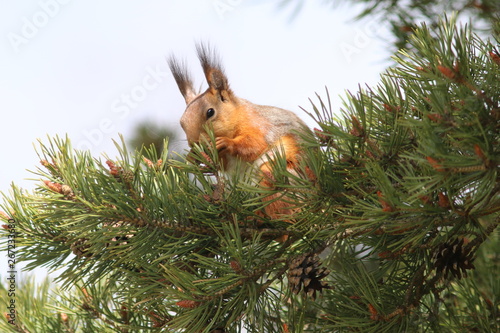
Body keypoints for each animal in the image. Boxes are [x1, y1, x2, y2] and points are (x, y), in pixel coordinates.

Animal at [168, 43, 312, 220]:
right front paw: (194, 156)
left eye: (210, 112)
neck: (237, 117)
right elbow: (223, 164)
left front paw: (227, 143)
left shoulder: (259, 124)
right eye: (181, 122)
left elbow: (255, 144)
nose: (194, 143)